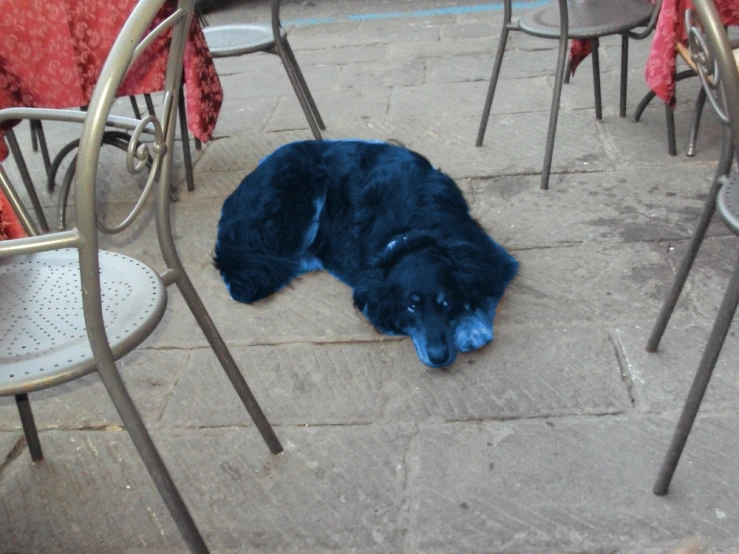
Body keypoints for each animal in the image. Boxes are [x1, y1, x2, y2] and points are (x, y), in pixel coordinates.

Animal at [215, 139, 520, 366]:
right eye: (410, 307)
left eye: (446, 302)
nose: (439, 357)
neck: (411, 232)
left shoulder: (489, 255)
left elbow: (482, 291)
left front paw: (471, 326)